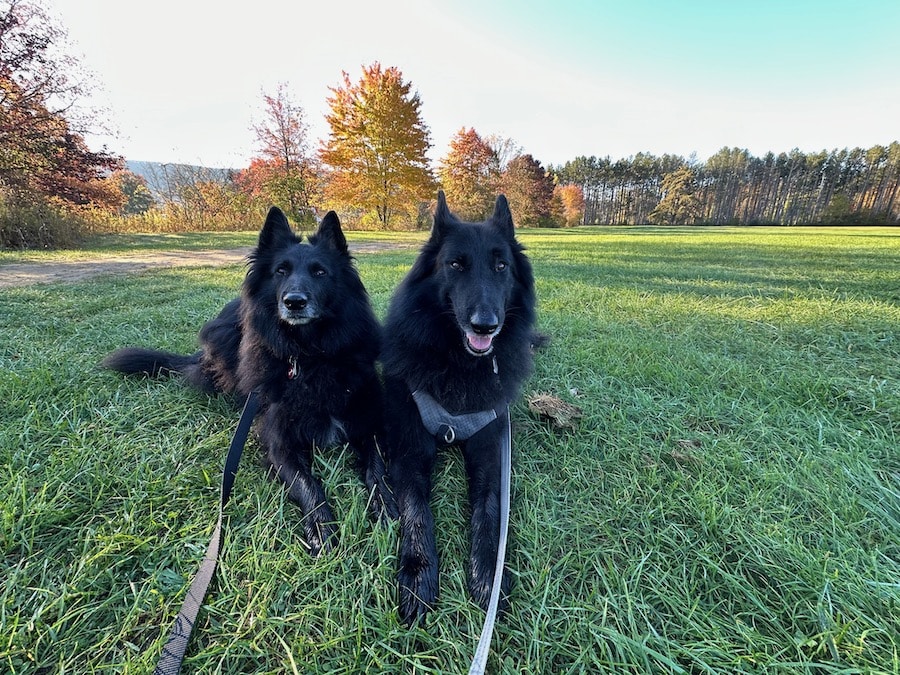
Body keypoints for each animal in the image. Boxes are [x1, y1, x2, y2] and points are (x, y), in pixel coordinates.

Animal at [102, 206, 394, 556]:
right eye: (281, 271)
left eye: (320, 272)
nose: (294, 301)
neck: (309, 355)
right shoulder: (279, 441)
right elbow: (307, 483)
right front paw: (321, 527)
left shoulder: (369, 425)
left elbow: (378, 471)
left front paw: (389, 509)